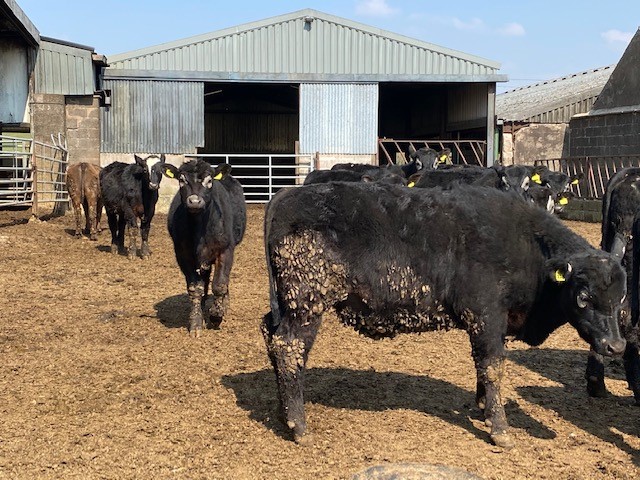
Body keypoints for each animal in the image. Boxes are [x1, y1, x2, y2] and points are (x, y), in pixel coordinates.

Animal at [161, 158, 246, 337]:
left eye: (209, 181)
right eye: (181, 180)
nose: (194, 201)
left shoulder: (225, 250)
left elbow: (220, 284)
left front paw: (216, 315)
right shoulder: (183, 254)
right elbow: (195, 287)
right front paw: (195, 322)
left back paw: (224, 305)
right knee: (205, 280)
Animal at [262, 182, 627, 449]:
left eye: (621, 299)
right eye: (583, 298)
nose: (616, 346)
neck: (526, 247)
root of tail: (288, 193)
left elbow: (484, 368)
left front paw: (483, 409)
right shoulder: (486, 316)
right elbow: (493, 367)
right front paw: (500, 429)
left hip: (286, 304)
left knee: (270, 334)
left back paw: (283, 412)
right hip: (306, 303)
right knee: (289, 347)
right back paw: (299, 425)